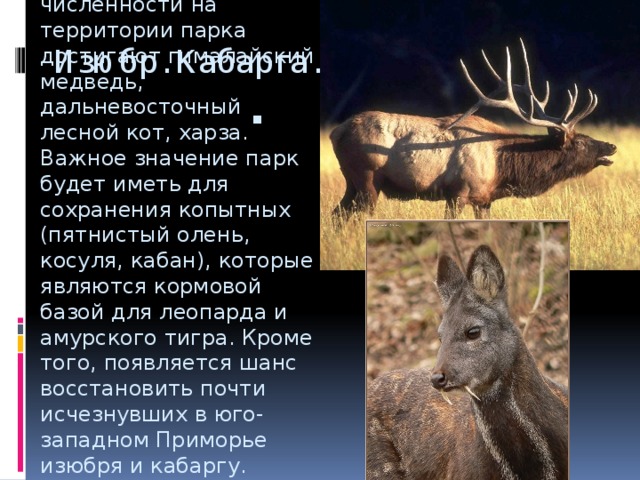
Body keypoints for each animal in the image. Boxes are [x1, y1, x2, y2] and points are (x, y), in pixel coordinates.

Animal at [330, 39, 616, 220]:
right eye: (580, 141)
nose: (611, 146)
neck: (502, 167)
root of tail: (336, 132)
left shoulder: (484, 199)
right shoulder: (458, 192)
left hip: (351, 181)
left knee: (336, 215)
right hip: (367, 178)